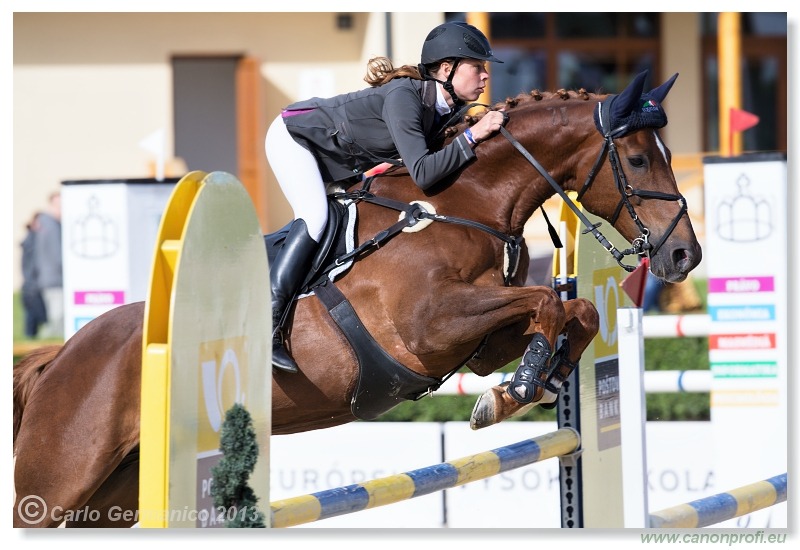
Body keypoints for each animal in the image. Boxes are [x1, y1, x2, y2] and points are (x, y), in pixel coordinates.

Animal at [12, 71, 700, 528]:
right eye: (639, 159)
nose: (682, 257)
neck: (461, 202)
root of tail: (61, 356)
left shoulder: (474, 343)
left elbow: (572, 310)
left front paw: (535, 380)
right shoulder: (429, 326)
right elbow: (546, 302)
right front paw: (521, 386)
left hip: (111, 497)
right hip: (56, 481)